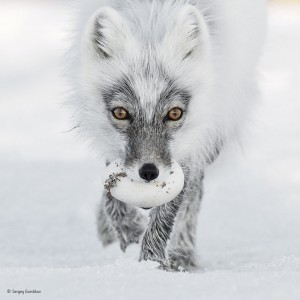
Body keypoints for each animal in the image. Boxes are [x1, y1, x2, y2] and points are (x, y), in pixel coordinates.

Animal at [72, 0, 264, 270]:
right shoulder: (111, 145)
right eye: (120, 113)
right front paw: (127, 228)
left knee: (194, 193)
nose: (149, 172)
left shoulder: (190, 148)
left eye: (174, 113)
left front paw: (152, 265)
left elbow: (169, 211)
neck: (151, 21)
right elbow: (111, 193)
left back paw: (183, 253)